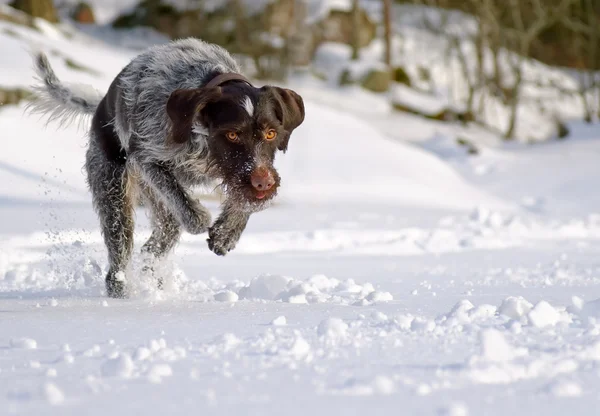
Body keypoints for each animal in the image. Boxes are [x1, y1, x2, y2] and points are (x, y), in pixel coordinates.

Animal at [28, 39, 304, 298]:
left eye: (271, 133)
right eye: (232, 134)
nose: (263, 181)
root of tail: (101, 105)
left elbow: (246, 200)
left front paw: (227, 232)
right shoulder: (147, 158)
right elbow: (190, 211)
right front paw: (204, 219)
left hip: (157, 206)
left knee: (156, 243)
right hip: (114, 193)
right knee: (120, 255)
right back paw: (122, 293)